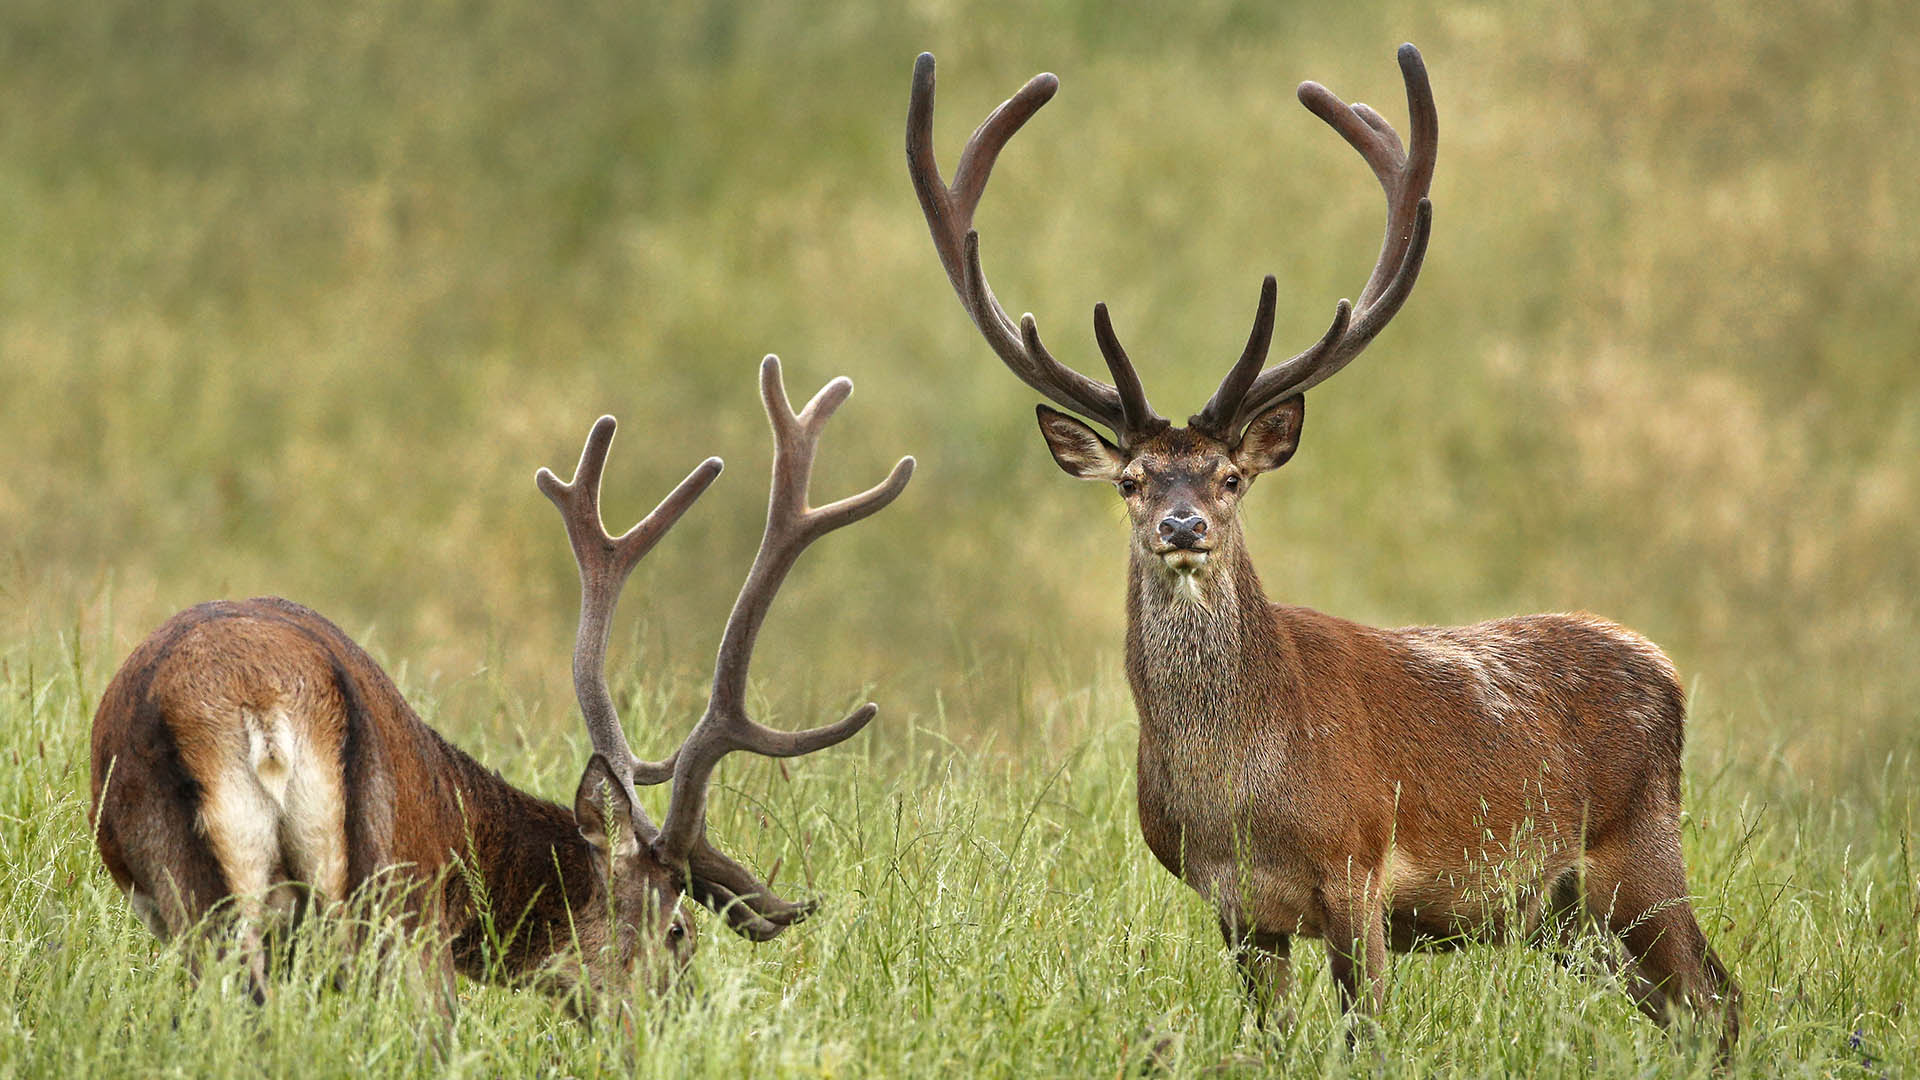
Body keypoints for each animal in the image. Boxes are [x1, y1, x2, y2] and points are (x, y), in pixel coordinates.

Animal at [902, 46, 1743, 1045]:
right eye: (1132, 481)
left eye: (1230, 478)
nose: (1182, 526)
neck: (1236, 798)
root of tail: (1666, 667)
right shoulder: (1235, 909)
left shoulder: (1358, 868)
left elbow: (1366, 1032)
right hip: (1564, 914)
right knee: (1696, 1004)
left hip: (1637, 852)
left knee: (1718, 998)